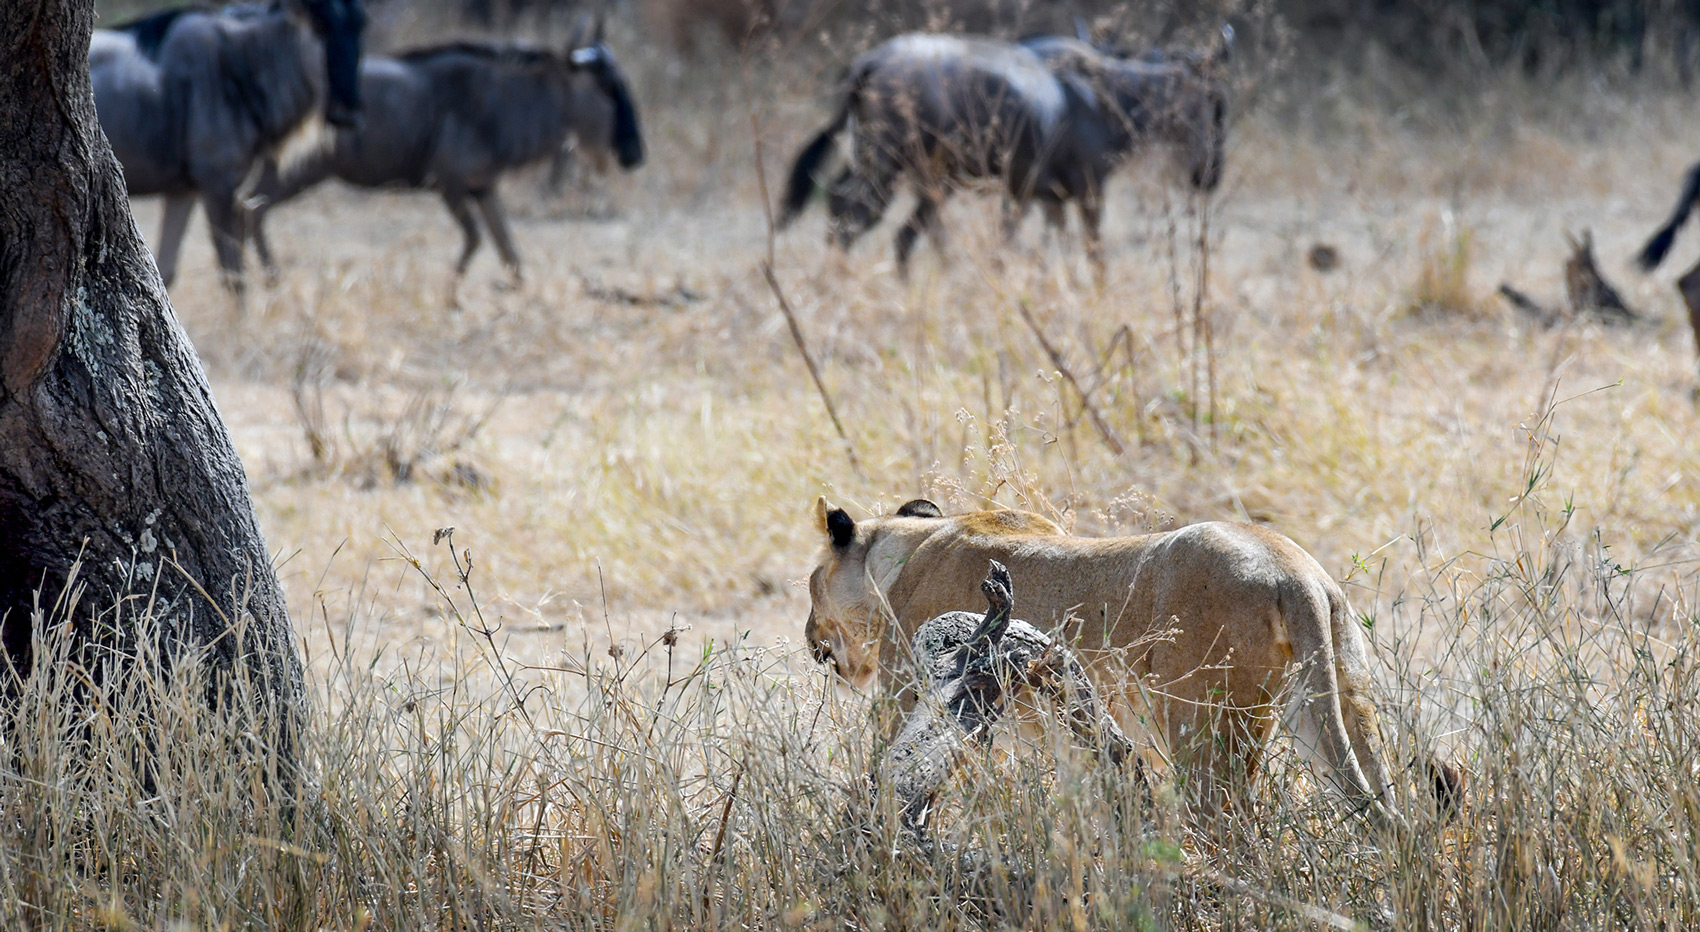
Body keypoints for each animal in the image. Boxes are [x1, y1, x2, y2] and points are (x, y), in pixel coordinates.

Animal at [804, 496, 1411, 832]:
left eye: (810, 585)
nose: (810, 637)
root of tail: (1294, 571)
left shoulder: (917, 697)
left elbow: (896, 779)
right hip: (1335, 706)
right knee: (1387, 812)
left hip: (1202, 728)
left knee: (1228, 825)